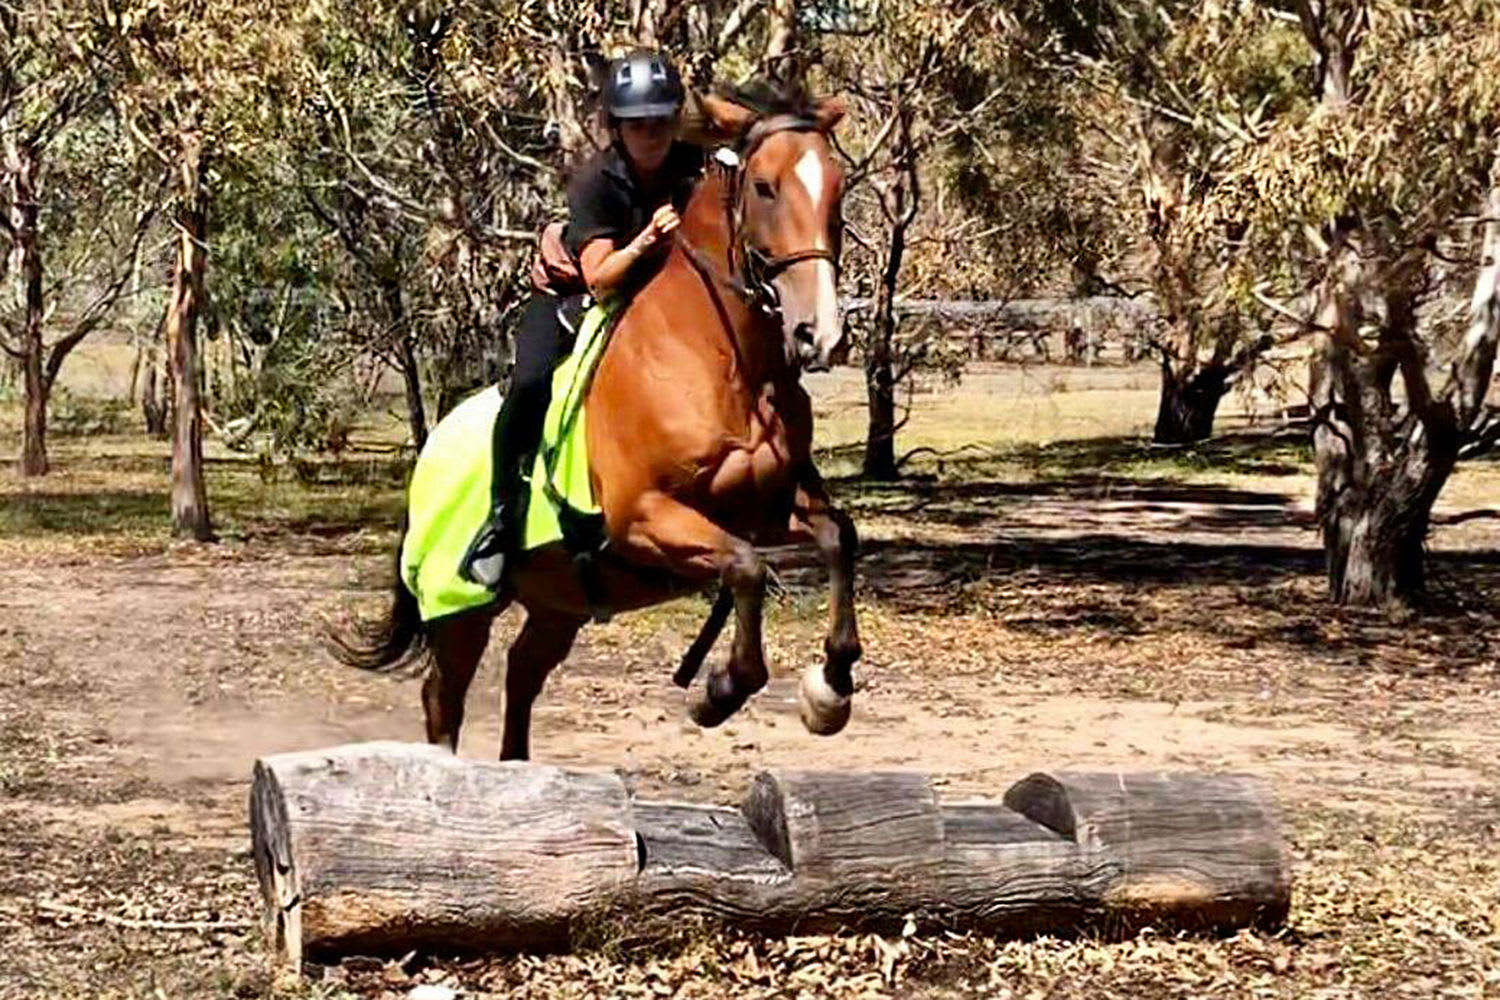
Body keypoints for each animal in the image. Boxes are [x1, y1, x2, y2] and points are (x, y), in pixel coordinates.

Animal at [330, 84, 861, 761]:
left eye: (838, 188)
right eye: (765, 188)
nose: (820, 334)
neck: (723, 361)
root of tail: (429, 453)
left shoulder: (767, 505)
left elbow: (839, 537)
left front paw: (830, 689)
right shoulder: (641, 518)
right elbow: (745, 568)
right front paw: (717, 692)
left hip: (559, 604)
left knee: (522, 673)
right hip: (460, 607)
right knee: (443, 697)